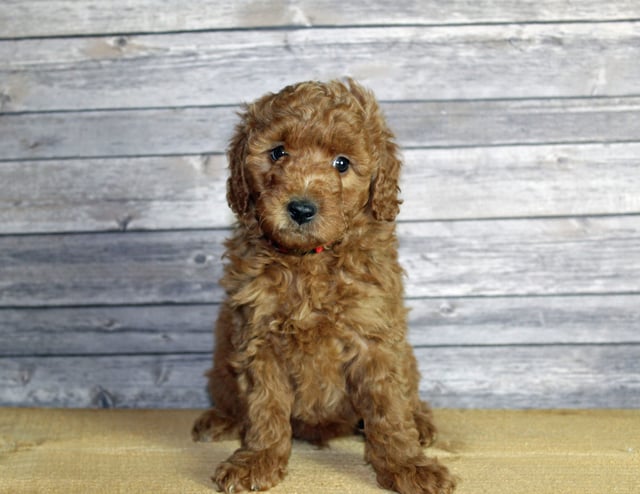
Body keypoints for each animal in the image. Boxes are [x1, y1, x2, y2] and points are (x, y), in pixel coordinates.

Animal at [191, 79, 456, 492]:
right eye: (278, 152)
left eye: (342, 163)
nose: (301, 209)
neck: (309, 260)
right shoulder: (258, 335)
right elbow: (265, 406)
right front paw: (258, 459)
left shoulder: (374, 335)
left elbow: (388, 409)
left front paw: (407, 465)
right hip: (222, 364)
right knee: (232, 400)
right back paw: (220, 418)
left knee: (409, 398)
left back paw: (422, 422)